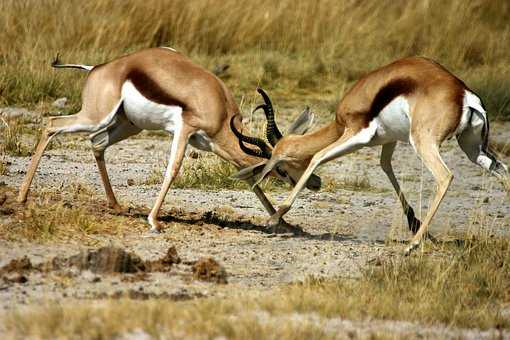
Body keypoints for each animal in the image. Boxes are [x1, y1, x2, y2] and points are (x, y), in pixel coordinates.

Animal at [17, 47, 320, 232]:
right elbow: (172, 170)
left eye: (299, 162)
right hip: (96, 116)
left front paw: (284, 223)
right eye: (283, 169)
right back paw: (21, 198)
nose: (315, 183)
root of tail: (99, 67)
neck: (218, 105)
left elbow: (249, 180)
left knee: (97, 143)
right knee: (52, 124)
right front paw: (154, 221)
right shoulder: (184, 130)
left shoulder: (214, 146)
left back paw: (116, 205)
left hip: (128, 125)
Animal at [234, 56, 510, 252]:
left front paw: (275, 217)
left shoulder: (357, 134)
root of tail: (463, 94)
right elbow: (385, 166)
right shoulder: (389, 139)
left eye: (281, 169)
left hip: (423, 143)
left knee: (445, 176)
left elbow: (318, 156)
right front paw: (415, 224)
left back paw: (412, 246)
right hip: (472, 148)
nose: (316, 184)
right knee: (501, 169)